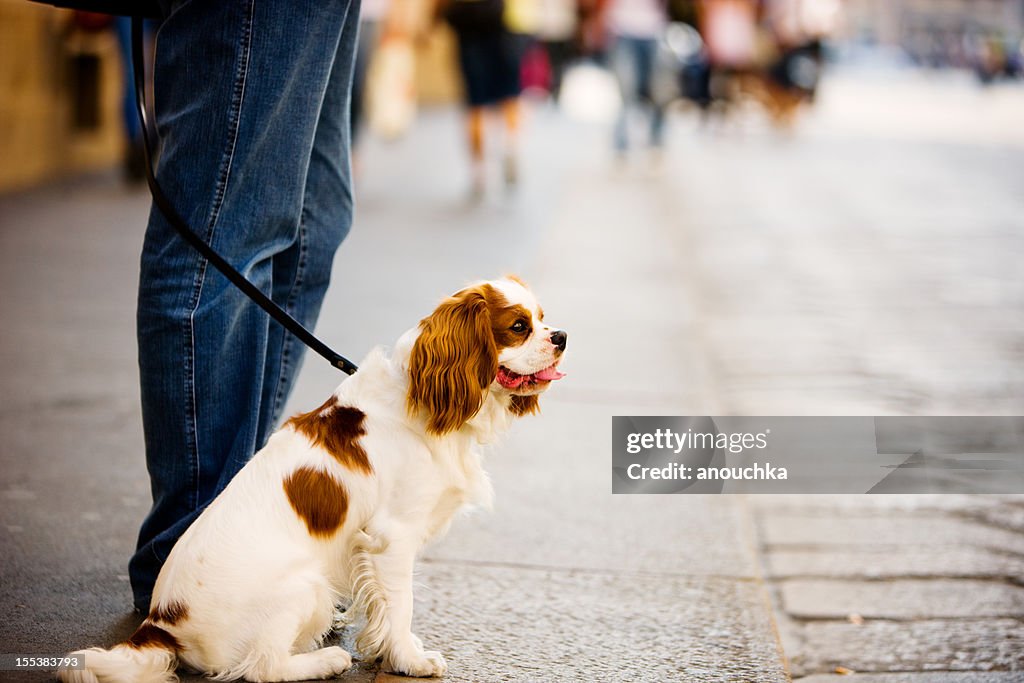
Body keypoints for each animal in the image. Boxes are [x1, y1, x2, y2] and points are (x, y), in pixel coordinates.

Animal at [61, 278, 569, 683]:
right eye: (519, 326)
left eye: (543, 318)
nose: (562, 335)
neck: (422, 397)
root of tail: (160, 625)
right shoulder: (393, 538)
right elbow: (401, 605)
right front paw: (409, 660)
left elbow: (382, 607)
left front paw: (383, 649)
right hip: (307, 586)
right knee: (261, 668)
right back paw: (325, 661)